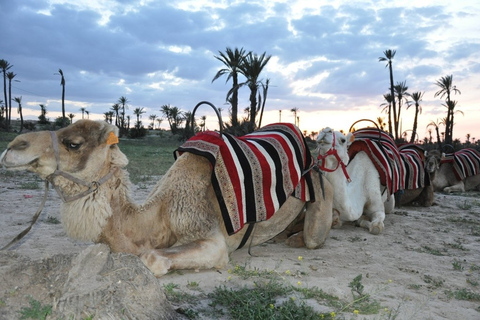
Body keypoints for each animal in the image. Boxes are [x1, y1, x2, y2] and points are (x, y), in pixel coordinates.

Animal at [0, 120, 334, 278]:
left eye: (73, 143)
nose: (13, 146)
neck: (156, 217)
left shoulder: (210, 236)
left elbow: (152, 259)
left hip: (320, 183)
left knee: (315, 233)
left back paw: (298, 237)